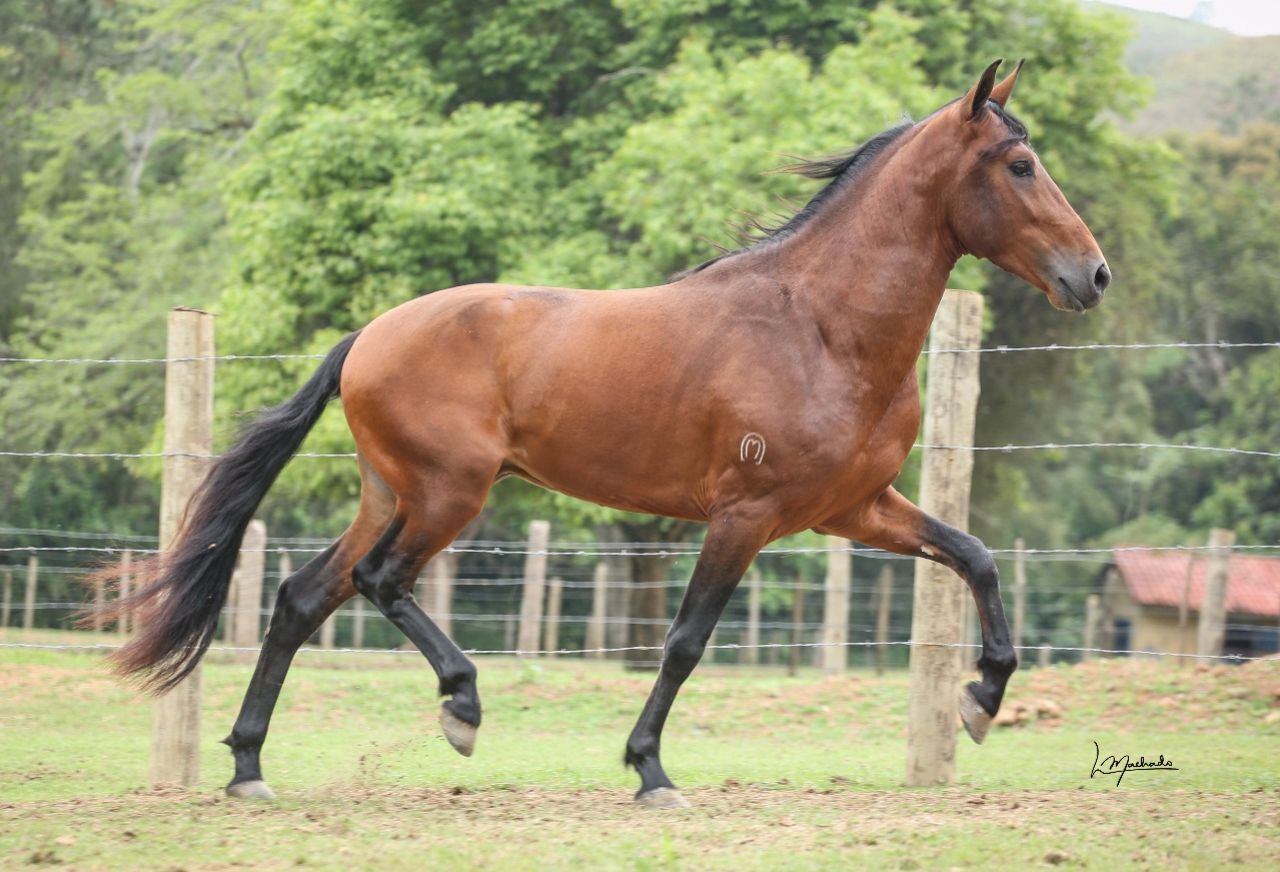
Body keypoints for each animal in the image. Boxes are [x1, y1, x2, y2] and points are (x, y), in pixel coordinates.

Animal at [99, 59, 1109, 808]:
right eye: (1019, 166)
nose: (1093, 275)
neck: (821, 327)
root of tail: (367, 337)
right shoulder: (745, 516)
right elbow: (686, 641)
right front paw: (651, 771)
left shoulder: (854, 509)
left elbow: (976, 557)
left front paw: (981, 699)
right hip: (449, 494)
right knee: (384, 583)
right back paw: (461, 707)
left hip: (392, 494)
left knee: (302, 599)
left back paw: (247, 767)